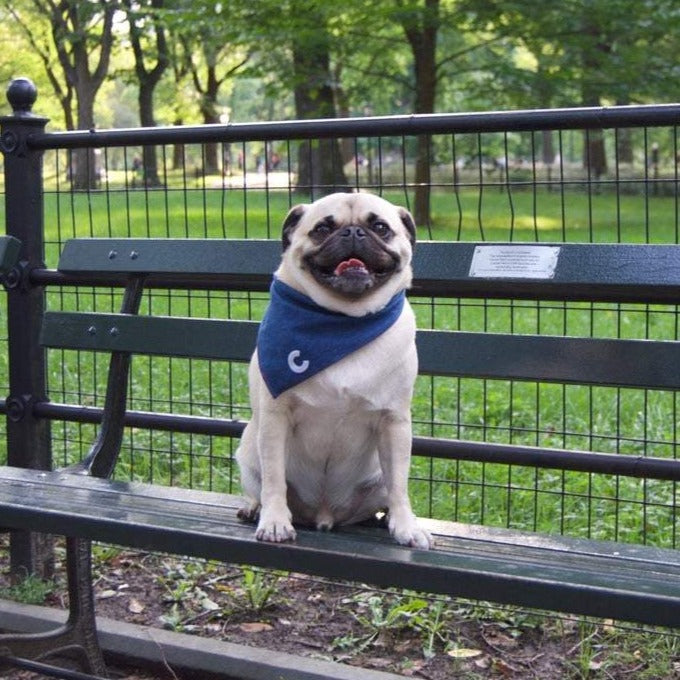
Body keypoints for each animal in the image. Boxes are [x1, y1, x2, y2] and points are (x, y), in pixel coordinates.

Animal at [236, 189, 432, 548]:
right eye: (322, 229)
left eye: (380, 228)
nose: (353, 232)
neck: (342, 323)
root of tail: (325, 515)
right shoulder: (275, 418)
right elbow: (274, 479)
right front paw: (274, 521)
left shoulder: (394, 422)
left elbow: (399, 483)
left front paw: (406, 526)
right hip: (249, 452)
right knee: (260, 484)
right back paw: (254, 508)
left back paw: (379, 519)